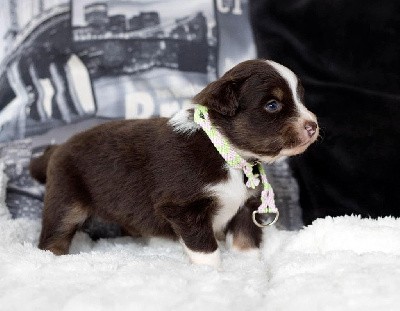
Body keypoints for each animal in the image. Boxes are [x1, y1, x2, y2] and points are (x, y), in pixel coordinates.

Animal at [29, 60, 318, 268]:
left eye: (301, 99)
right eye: (272, 105)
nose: (313, 126)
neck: (227, 155)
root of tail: (57, 148)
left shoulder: (246, 205)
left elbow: (246, 240)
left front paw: (248, 265)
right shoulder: (184, 207)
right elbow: (205, 248)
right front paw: (213, 274)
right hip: (66, 199)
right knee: (54, 235)